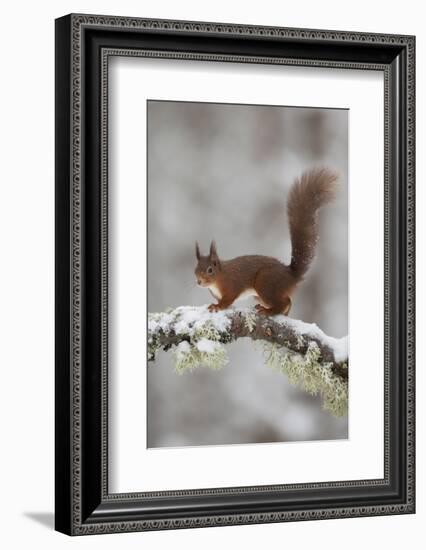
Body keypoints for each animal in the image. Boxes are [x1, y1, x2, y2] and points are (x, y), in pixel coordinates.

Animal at [195, 166, 338, 316]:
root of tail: (291, 276)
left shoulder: (232, 285)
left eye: (210, 270)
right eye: (195, 269)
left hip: (265, 283)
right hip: (260, 293)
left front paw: (217, 306)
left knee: (283, 302)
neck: (219, 276)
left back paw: (268, 311)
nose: (199, 281)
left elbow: (228, 300)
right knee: (288, 301)